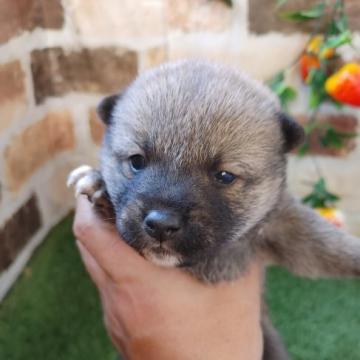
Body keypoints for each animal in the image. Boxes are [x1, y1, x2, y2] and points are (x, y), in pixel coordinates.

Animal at [67, 60, 360, 358]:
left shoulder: (283, 225)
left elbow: (328, 247)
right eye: (137, 161)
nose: (161, 224)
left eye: (225, 176)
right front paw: (98, 185)